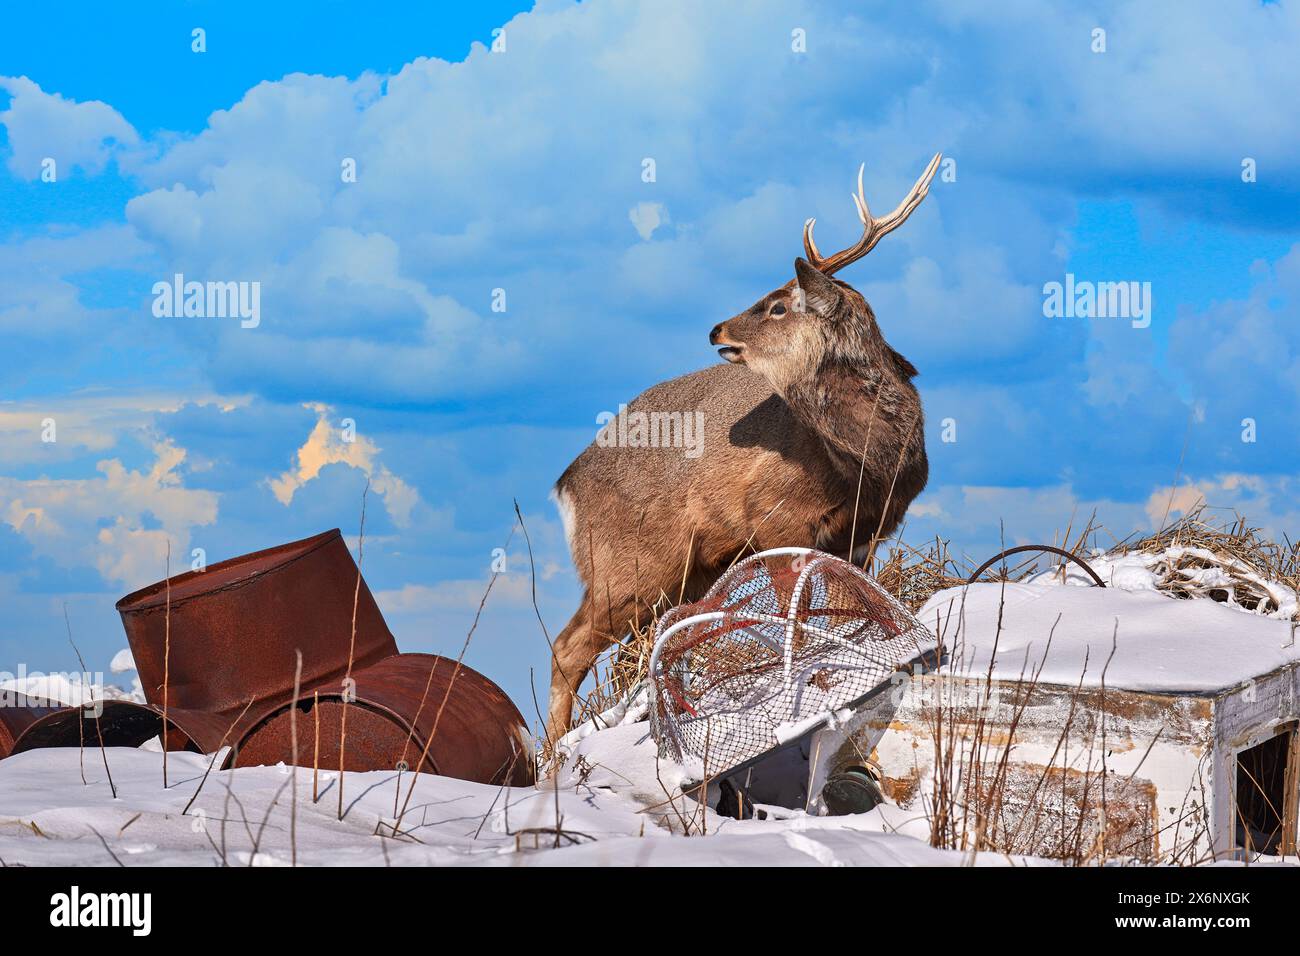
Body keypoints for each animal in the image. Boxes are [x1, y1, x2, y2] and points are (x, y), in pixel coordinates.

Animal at [543, 155, 941, 738]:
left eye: (778, 306)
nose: (716, 329)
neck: (868, 461)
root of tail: (565, 482)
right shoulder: (775, 516)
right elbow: (797, 621)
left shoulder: (866, 533)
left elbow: (851, 609)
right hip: (627, 563)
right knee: (568, 648)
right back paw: (552, 751)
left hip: (684, 573)